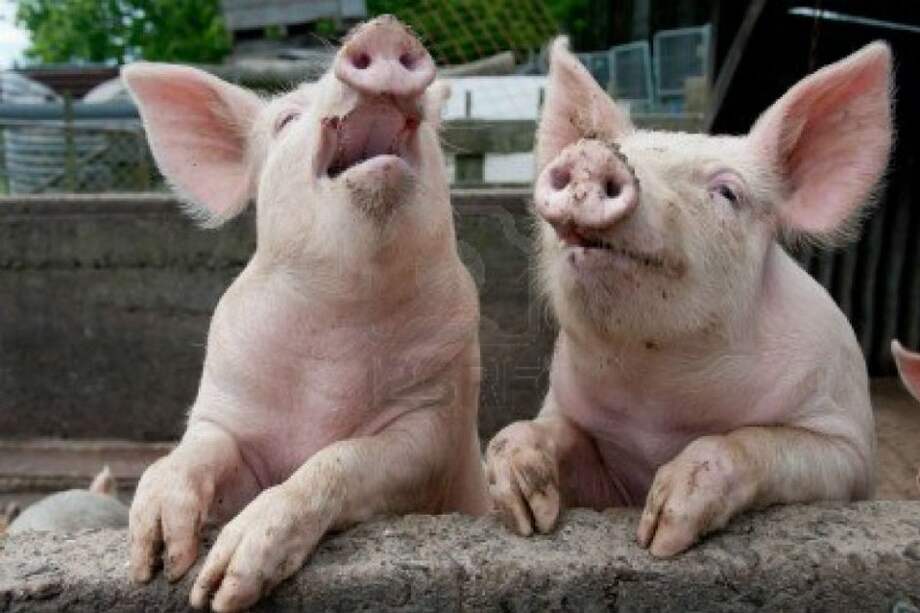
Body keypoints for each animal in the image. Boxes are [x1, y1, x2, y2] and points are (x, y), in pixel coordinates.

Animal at [123, 16, 487, 612]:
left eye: (432, 125)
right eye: (286, 119)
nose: (386, 30)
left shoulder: (434, 427)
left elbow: (340, 459)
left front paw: (221, 588)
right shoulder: (225, 404)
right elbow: (199, 449)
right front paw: (160, 564)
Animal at [485, 38, 891, 557]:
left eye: (728, 192)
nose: (594, 156)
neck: (659, 404)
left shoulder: (848, 446)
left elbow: (754, 441)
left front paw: (660, 536)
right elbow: (535, 434)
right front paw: (525, 514)